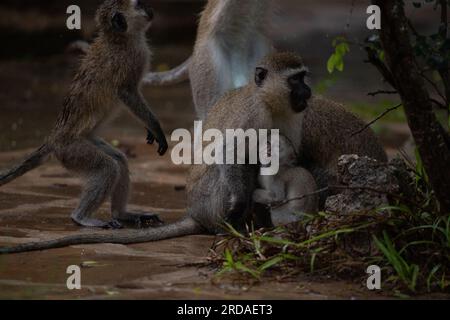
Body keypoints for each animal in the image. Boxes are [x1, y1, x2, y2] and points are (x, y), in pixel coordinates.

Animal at [0, 0, 168, 230]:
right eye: (139, 4)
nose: (150, 10)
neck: (120, 38)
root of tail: (54, 138)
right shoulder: (130, 61)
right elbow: (128, 94)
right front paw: (156, 128)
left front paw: (150, 130)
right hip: (72, 150)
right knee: (107, 167)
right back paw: (81, 217)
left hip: (84, 142)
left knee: (119, 160)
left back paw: (122, 214)